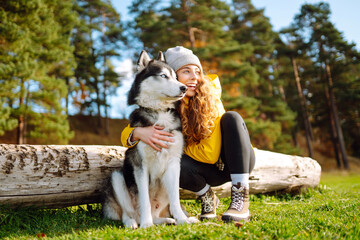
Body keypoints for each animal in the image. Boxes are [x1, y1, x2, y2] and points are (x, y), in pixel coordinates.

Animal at [101, 50, 197, 229]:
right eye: (163, 76)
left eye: (176, 77)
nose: (184, 88)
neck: (160, 112)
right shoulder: (140, 166)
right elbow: (144, 199)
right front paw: (146, 225)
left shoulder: (174, 164)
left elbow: (175, 200)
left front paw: (183, 220)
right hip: (117, 178)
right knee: (128, 213)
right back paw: (134, 222)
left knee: (160, 213)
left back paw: (168, 220)